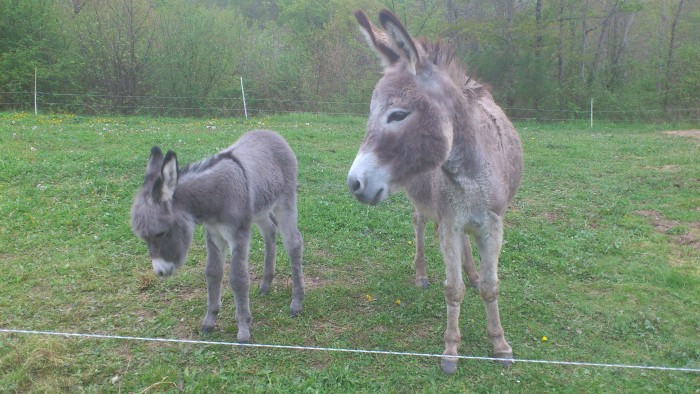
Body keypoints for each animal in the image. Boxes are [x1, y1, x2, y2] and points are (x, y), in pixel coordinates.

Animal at [131, 129, 304, 342]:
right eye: (144, 238)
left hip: (285, 201)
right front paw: (209, 321)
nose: (160, 272)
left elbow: (238, 278)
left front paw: (243, 329)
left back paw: (296, 303)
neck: (215, 197)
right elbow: (213, 272)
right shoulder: (214, 234)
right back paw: (266, 284)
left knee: (293, 243)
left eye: (161, 232)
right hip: (260, 208)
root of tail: (271, 133)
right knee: (270, 230)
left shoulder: (238, 235)